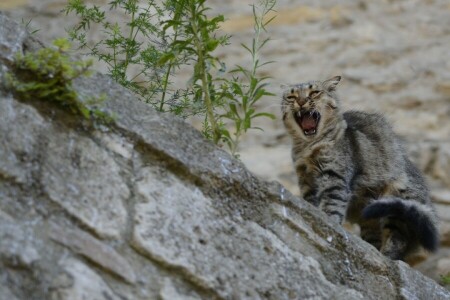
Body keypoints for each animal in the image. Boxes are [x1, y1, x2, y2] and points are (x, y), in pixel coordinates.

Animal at [282, 76, 440, 262]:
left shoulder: (335, 177)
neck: (308, 148)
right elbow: (310, 202)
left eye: (314, 92)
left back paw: (386, 257)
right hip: (370, 220)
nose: (301, 102)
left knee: (397, 240)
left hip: (396, 206)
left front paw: (327, 222)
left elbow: (332, 206)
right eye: (291, 97)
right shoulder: (306, 179)